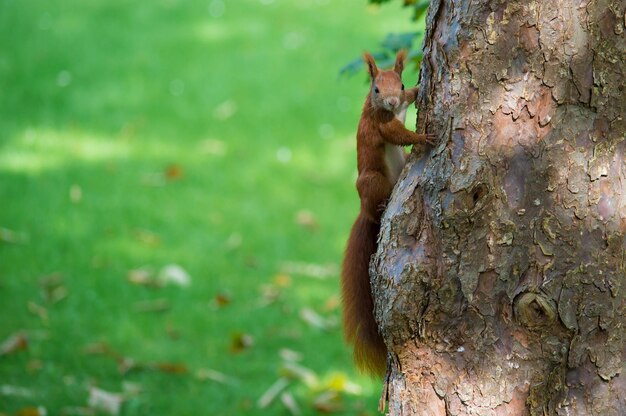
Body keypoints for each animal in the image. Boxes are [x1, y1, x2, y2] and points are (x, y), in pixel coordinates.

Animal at [338, 50, 432, 376]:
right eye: (376, 89)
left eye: (400, 84)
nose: (391, 102)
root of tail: (364, 214)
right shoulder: (379, 122)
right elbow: (397, 133)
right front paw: (423, 138)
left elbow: (412, 98)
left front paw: (417, 88)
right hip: (371, 180)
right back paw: (380, 207)